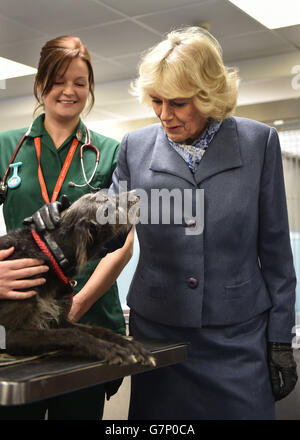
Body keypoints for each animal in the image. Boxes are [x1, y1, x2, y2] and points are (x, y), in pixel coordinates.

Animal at [0, 192, 155, 368]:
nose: (137, 193)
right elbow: (70, 334)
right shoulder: (8, 334)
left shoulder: (56, 320)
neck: (52, 252)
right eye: (105, 200)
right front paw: (111, 350)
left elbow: (99, 330)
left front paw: (130, 345)